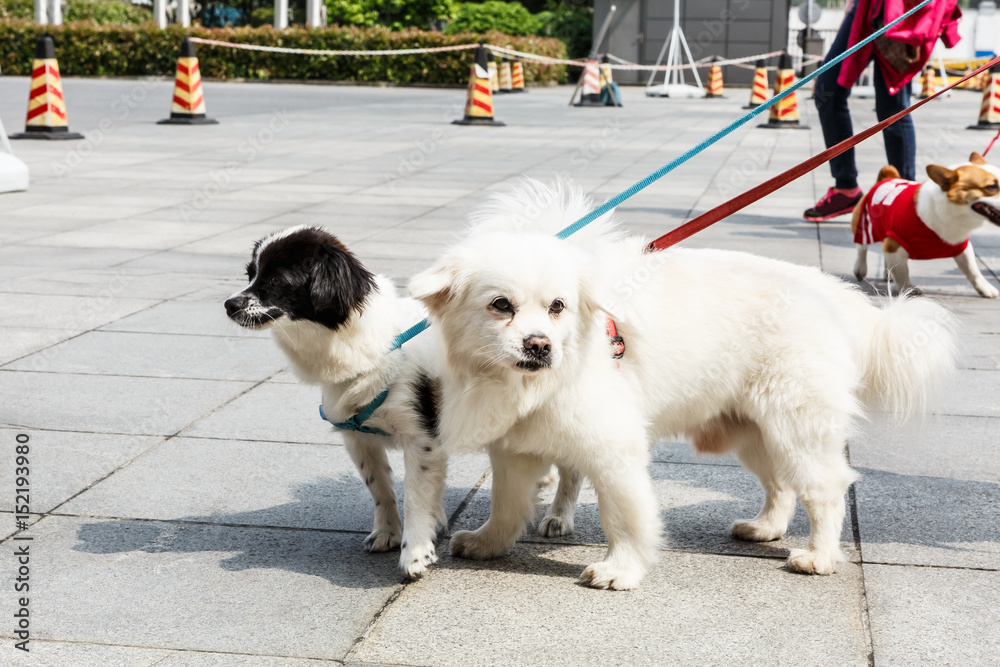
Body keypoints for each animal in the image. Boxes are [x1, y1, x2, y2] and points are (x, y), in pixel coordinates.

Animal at [224, 226, 584, 580]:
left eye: (276, 281)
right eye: (250, 274)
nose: (229, 304)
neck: (378, 347)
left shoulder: (421, 437)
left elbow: (415, 496)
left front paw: (416, 552)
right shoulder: (358, 438)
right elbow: (380, 488)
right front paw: (389, 532)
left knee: (572, 468)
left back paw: (559, 516)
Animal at [410, 177, 956, 588]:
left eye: (557, 307)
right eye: (501, 305)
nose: (540, 345)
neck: (533, 385)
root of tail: (835, 295)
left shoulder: (614, 450)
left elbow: (626, 517)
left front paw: (620, 571)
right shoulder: (515, 450)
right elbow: (506, 506)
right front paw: (486, 544)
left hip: (795, 427)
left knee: (826, 490)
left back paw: (818, 557)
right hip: (754, 433)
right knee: (780, 486)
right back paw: (764, 528)